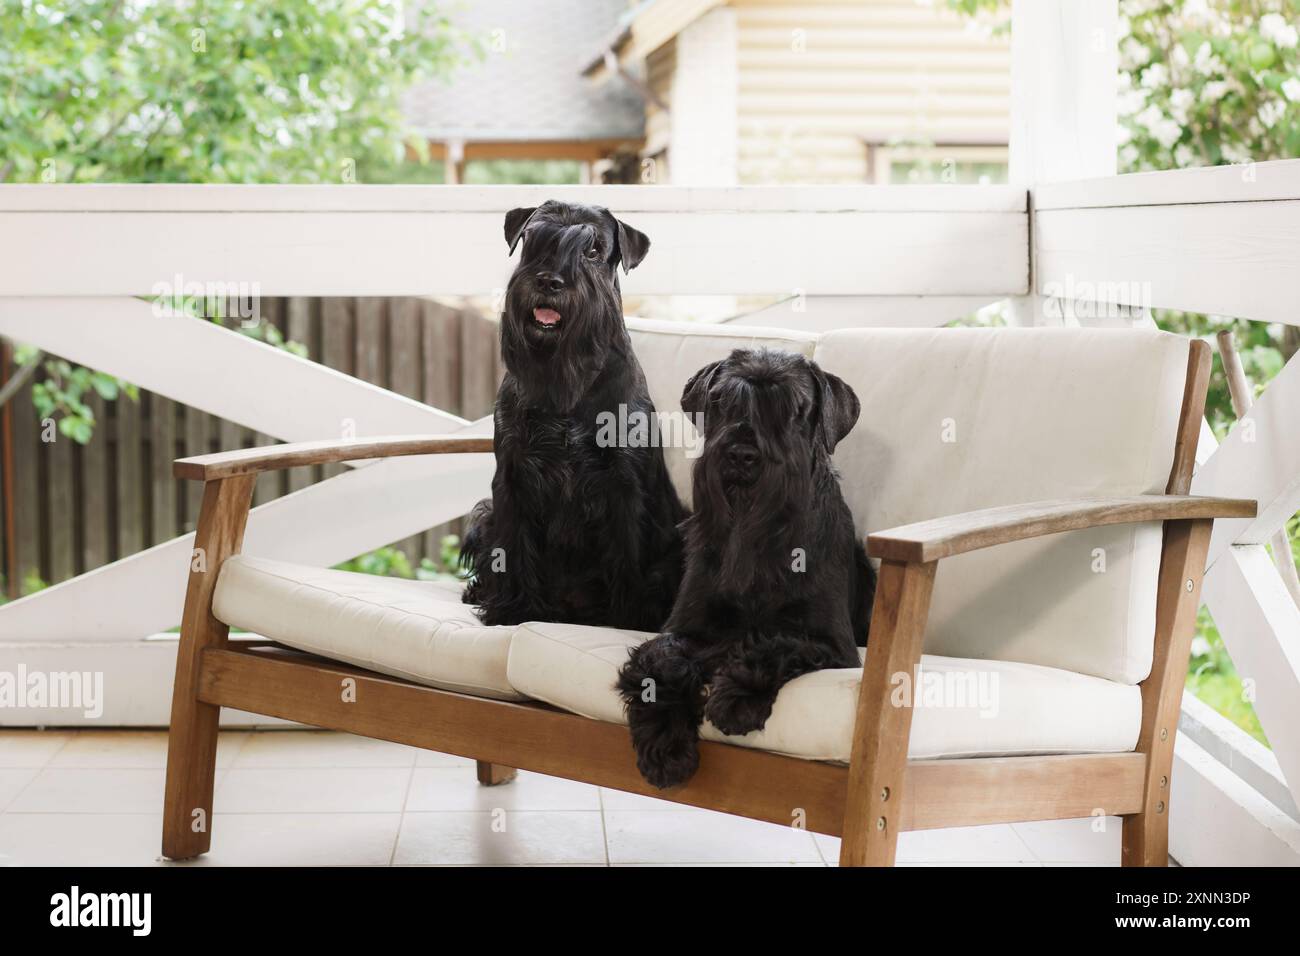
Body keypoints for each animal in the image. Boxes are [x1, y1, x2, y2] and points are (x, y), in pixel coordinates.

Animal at [462, 199, 686, 632]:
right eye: (532, 240)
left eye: (593, 250)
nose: (550, 282)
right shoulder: (512, 476)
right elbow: (513, 546)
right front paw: (515, 610)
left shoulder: (623, 484)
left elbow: (627, 554)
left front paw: (629, 619)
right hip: (483, 512)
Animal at [616, 348, 873, 790]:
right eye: (721, 401)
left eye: (794, 408)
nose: (740, 455)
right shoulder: (687, 630)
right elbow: (662, 662)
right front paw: (665, 744)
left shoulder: (835, 646)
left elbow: (778, 643)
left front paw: (735, 697)